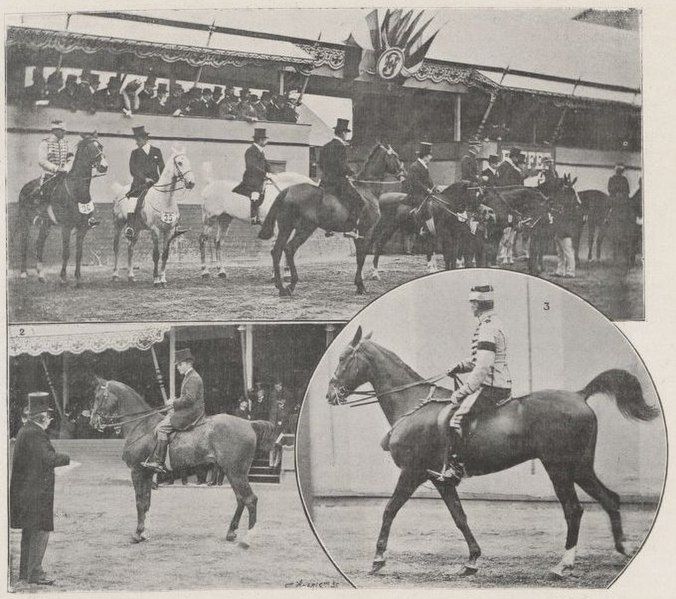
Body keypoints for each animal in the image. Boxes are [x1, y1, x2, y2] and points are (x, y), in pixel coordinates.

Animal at [17, 136, 108, 286]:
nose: (104, 166)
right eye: (90, 148)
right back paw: (23, 273)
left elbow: (79, 254)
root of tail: (26, 187)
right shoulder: (66, 227)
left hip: (45, 224)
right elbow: (66, 253)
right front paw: (63, 277)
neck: (77, 191)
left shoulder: (83, 228)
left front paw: (78, 277)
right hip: (25, 222)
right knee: (24, 243)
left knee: (39, 244)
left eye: (101, 146)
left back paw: (41, 275)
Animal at [90, 380, 274, 548]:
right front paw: (144, 533)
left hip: (236, 472)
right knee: (241, 499)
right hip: (232, 472)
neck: (141, 426)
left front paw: (137, 533)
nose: (92, 421)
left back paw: (247, 538)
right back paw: (231, 532)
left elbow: (140, 502)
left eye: (98, 397)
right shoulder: (147, 473)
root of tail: (248, 423)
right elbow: (147, 502)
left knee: (250, 499)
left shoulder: (137, 471)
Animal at [111, 149, 195, 288]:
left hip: (136, 230)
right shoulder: (155, 230)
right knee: (116, 248)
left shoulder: (169, 231)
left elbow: (165, 255)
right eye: (180, 163)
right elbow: (156, 255)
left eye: (189, 162)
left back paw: (131, 276)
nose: (191, 183)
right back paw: (115, 275)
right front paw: (156, 280)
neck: (165, 199)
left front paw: (163, 279)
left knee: (130, 248)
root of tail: (120, 192)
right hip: (118, 225)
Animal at [258, 144, 404, 298]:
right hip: (305, 228)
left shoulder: (358, 234)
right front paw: (361, 286)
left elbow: (359, 257)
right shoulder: (366, 232)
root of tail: (287, 190)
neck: (366, 190)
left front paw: (359, 284)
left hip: (286, 227)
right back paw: (291, 285)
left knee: (277, 251)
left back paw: (281, 287)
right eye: (395, 156)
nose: (403, 173)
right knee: (289, 249)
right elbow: (361, 257)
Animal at [324, 328, 656, 580]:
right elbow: (459, 516)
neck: (414, 405)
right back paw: (623, 550)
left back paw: (563, 566)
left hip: (560, 468)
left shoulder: (413, 472)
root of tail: (579, 395)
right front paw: (472, 560)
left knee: (574, 510)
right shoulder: (440, 479)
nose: (330, 394)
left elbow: (390, 509)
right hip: (580, 467)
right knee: (609, 498)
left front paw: (378, 559)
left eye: (342, 357)